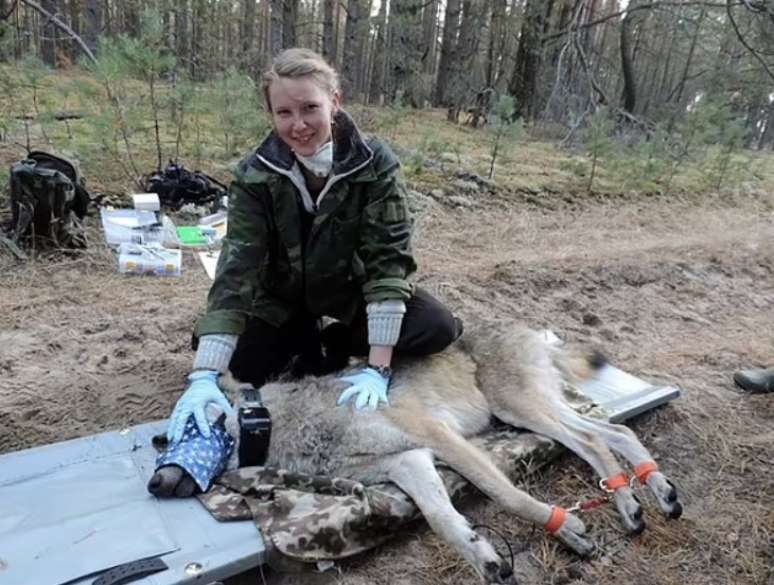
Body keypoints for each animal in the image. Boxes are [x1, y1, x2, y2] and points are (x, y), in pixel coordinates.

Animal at [152, 322, 684, 580]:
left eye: (178, 433)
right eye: (165, 441)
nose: (153, 482)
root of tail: (532, 332)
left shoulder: (437, 437)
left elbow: (506, 495)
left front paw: (564, 528)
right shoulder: (408, 461)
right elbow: (442, 520)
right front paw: (485, 557)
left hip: (516, 408)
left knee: (596, 437)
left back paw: (637, 499)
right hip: (529, 411)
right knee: (609, 433)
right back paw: (648, 497)